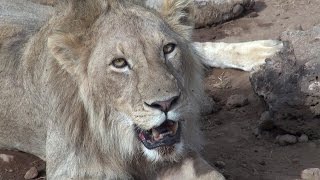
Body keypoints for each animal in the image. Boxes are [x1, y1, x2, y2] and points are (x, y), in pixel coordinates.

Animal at [0, 0, 282, 179]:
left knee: (196, 46)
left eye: (168, 49)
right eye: (119, 63)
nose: (166, 103)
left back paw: (267, 53)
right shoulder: (71, 169)